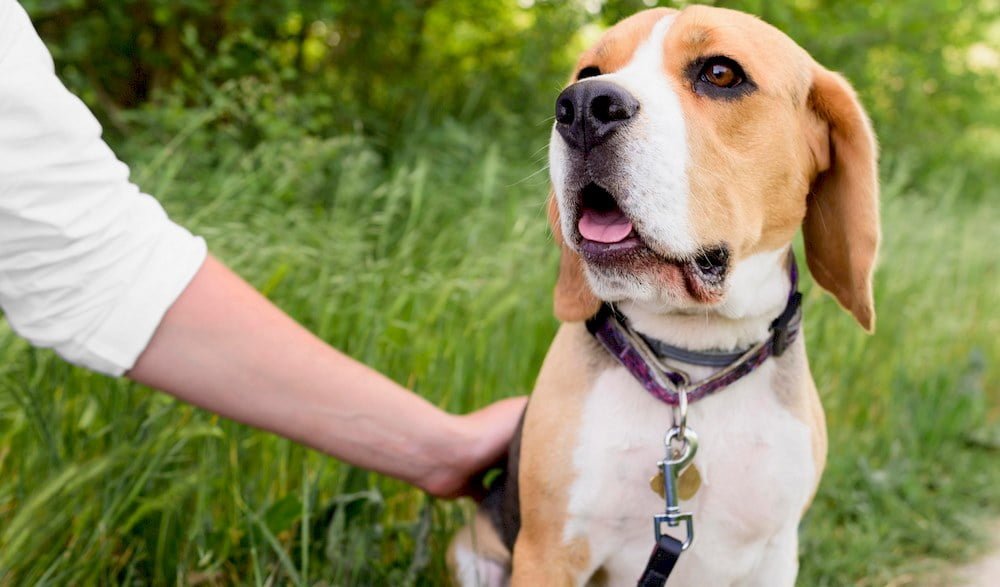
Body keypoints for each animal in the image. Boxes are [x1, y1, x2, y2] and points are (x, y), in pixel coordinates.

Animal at [448, 5, 876, 587]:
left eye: (721, 73)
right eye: (587, 72)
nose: (582, 107)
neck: (691, 366)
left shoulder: (776, 554)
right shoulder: (548, 552)